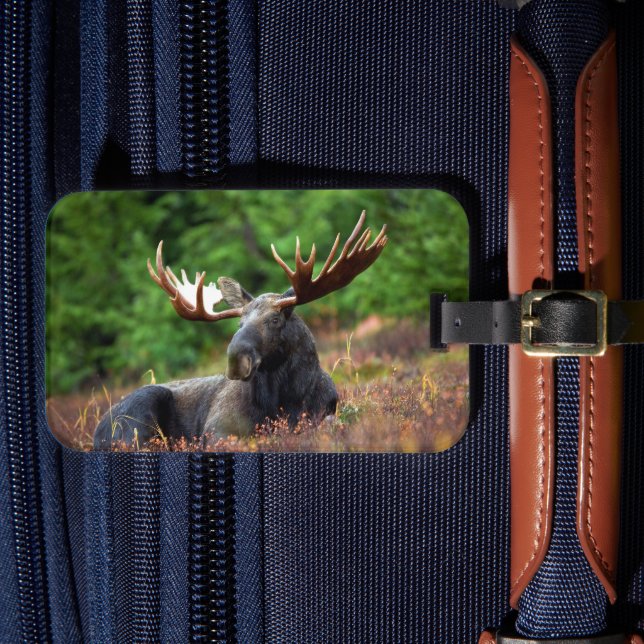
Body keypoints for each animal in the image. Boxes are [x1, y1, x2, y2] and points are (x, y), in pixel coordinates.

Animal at [93, 211, 388, 449]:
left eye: (275, 319)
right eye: (239, 323)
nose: (236, 359)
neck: (286, 401)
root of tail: (97, 431)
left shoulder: (325, 413)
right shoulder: (217, 429)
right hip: (139, 414)